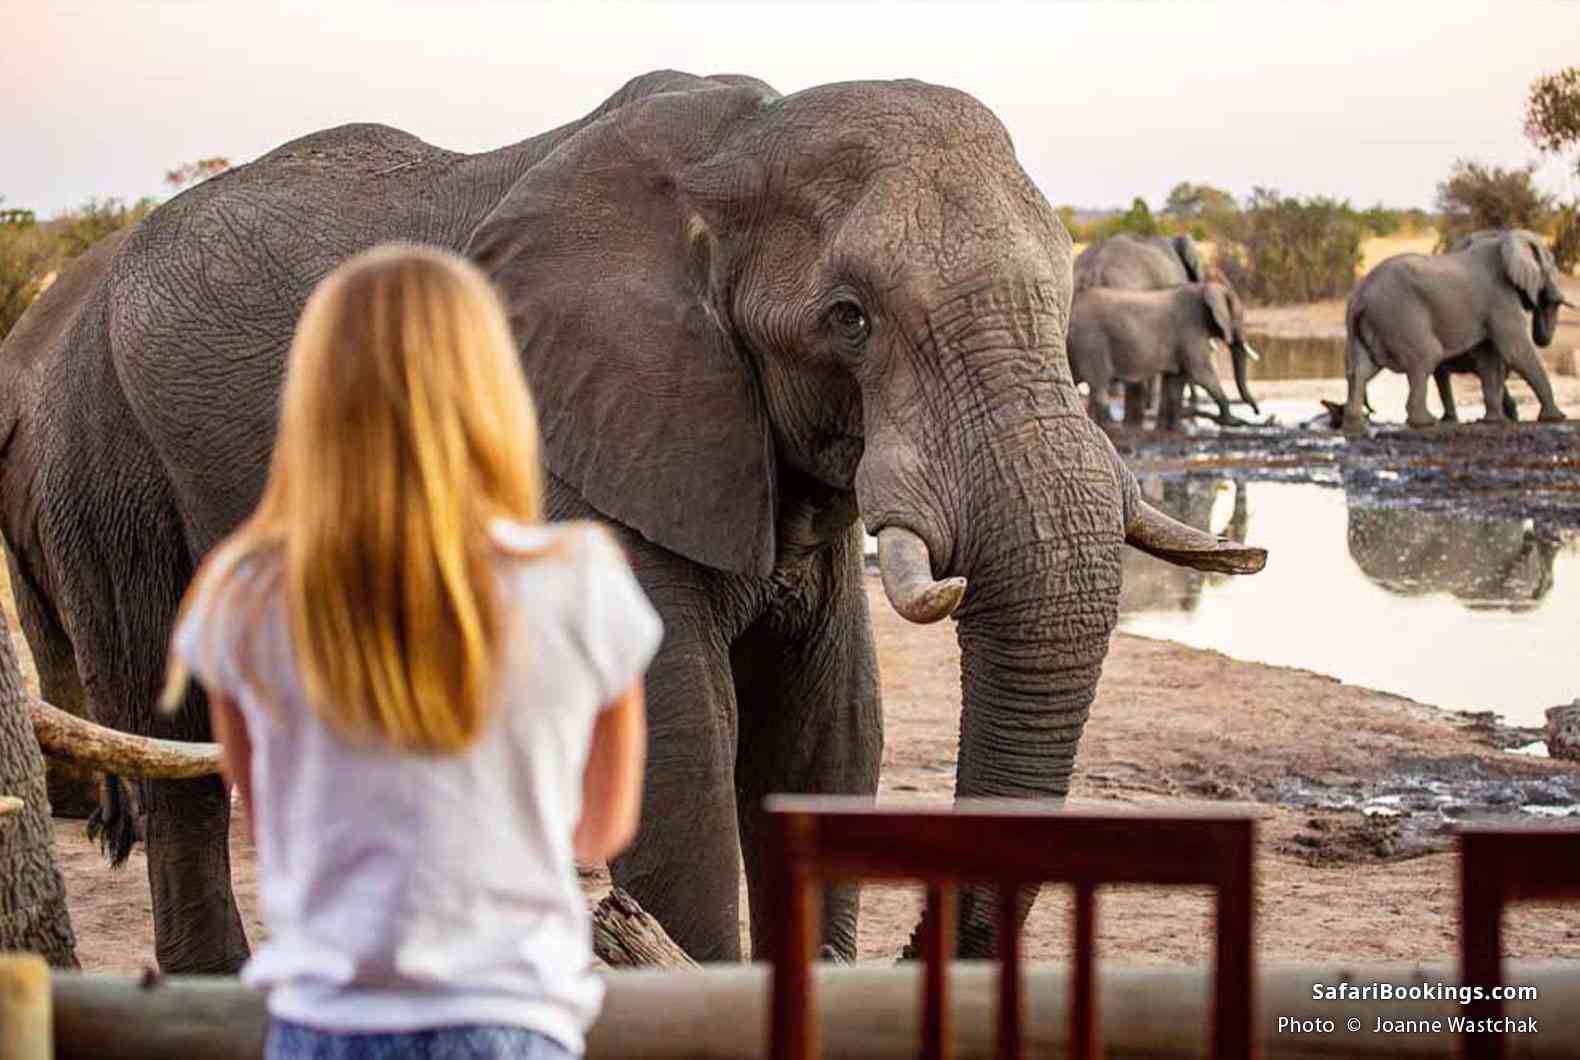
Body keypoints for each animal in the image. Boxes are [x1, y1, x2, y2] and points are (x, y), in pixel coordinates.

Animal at [1067, 281, 1262, 429]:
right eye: (1239, 319)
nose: (1257, 412)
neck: (1204, 288)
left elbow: (1176, 381)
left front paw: (1174, 428)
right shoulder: (1191, 329)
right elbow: (1202, 374)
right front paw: (1231, 422)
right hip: (1091, 342)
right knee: (1100, 383)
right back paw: (1110, 425)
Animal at [1343, 229, 1572, 430]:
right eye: (1552, 265)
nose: (1546, 299)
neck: (1505, 240)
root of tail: (1359, 294)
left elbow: (1488, 358)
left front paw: (1493, 421)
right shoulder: (1499, 299)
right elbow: (1516, 351)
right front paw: (1556, 417)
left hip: (1374, 322)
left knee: (1363, 369)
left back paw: (1354, 425)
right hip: (1400, 316)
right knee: (1426, 356)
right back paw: (1427, 422)